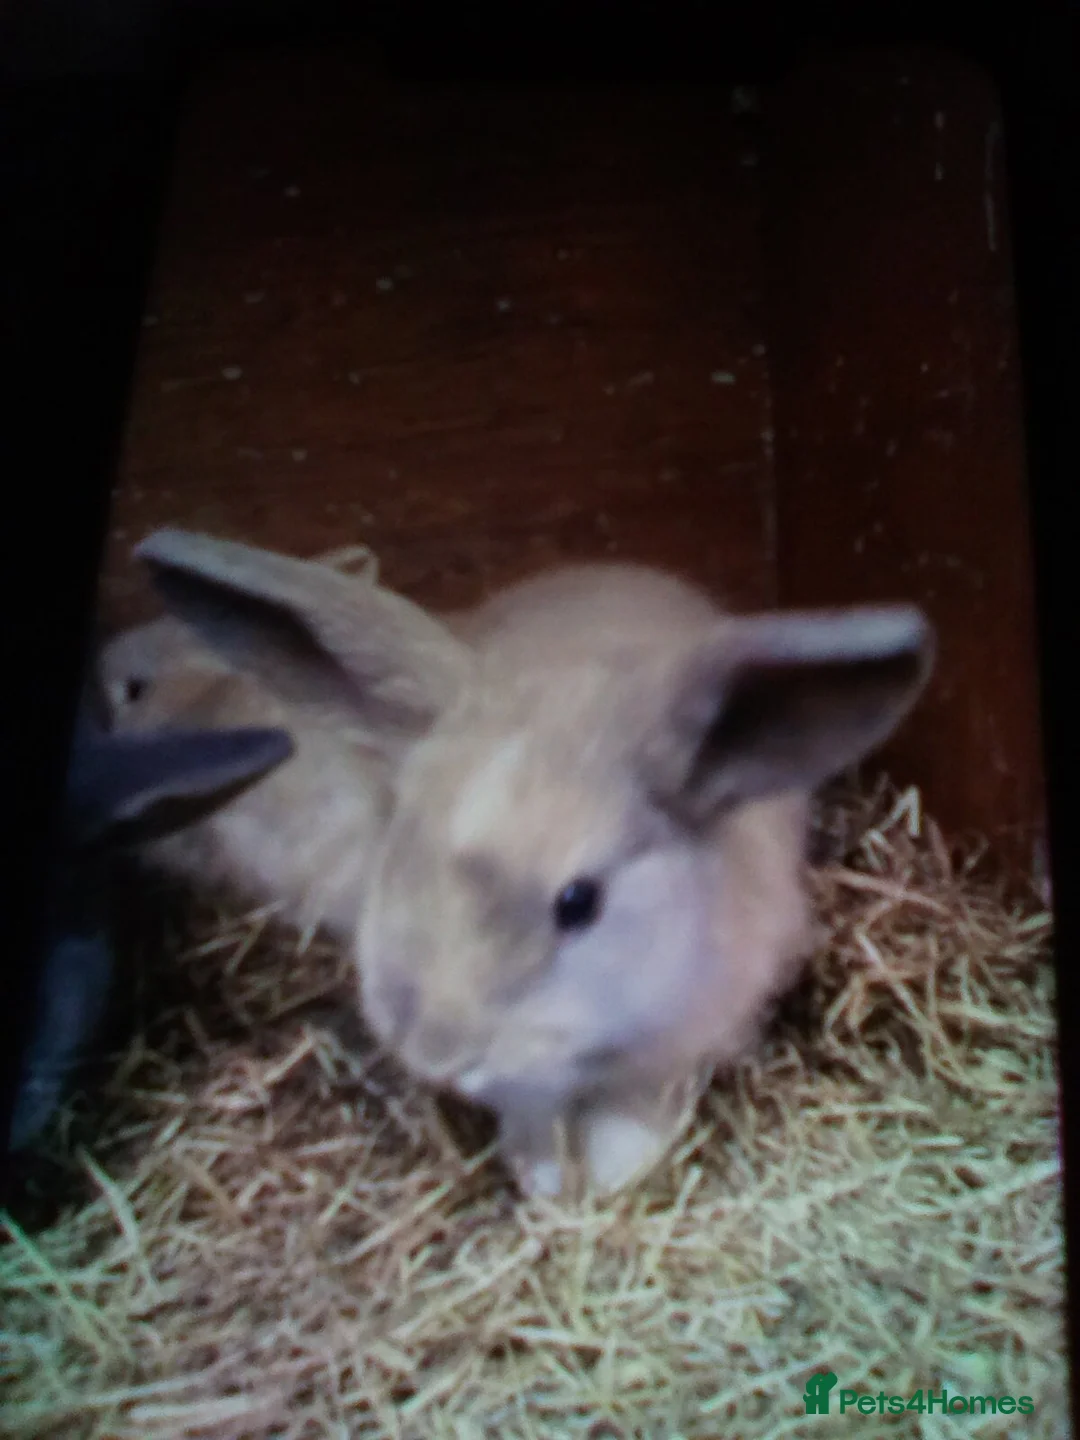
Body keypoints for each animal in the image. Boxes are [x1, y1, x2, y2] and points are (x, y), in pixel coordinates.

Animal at [131, 527, 935, 1200]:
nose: (438, 1050)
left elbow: (637, 1112)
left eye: (578, 902)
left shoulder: (684, 1042)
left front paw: (605, 1178)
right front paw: (548, 1182)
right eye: (400, 848)